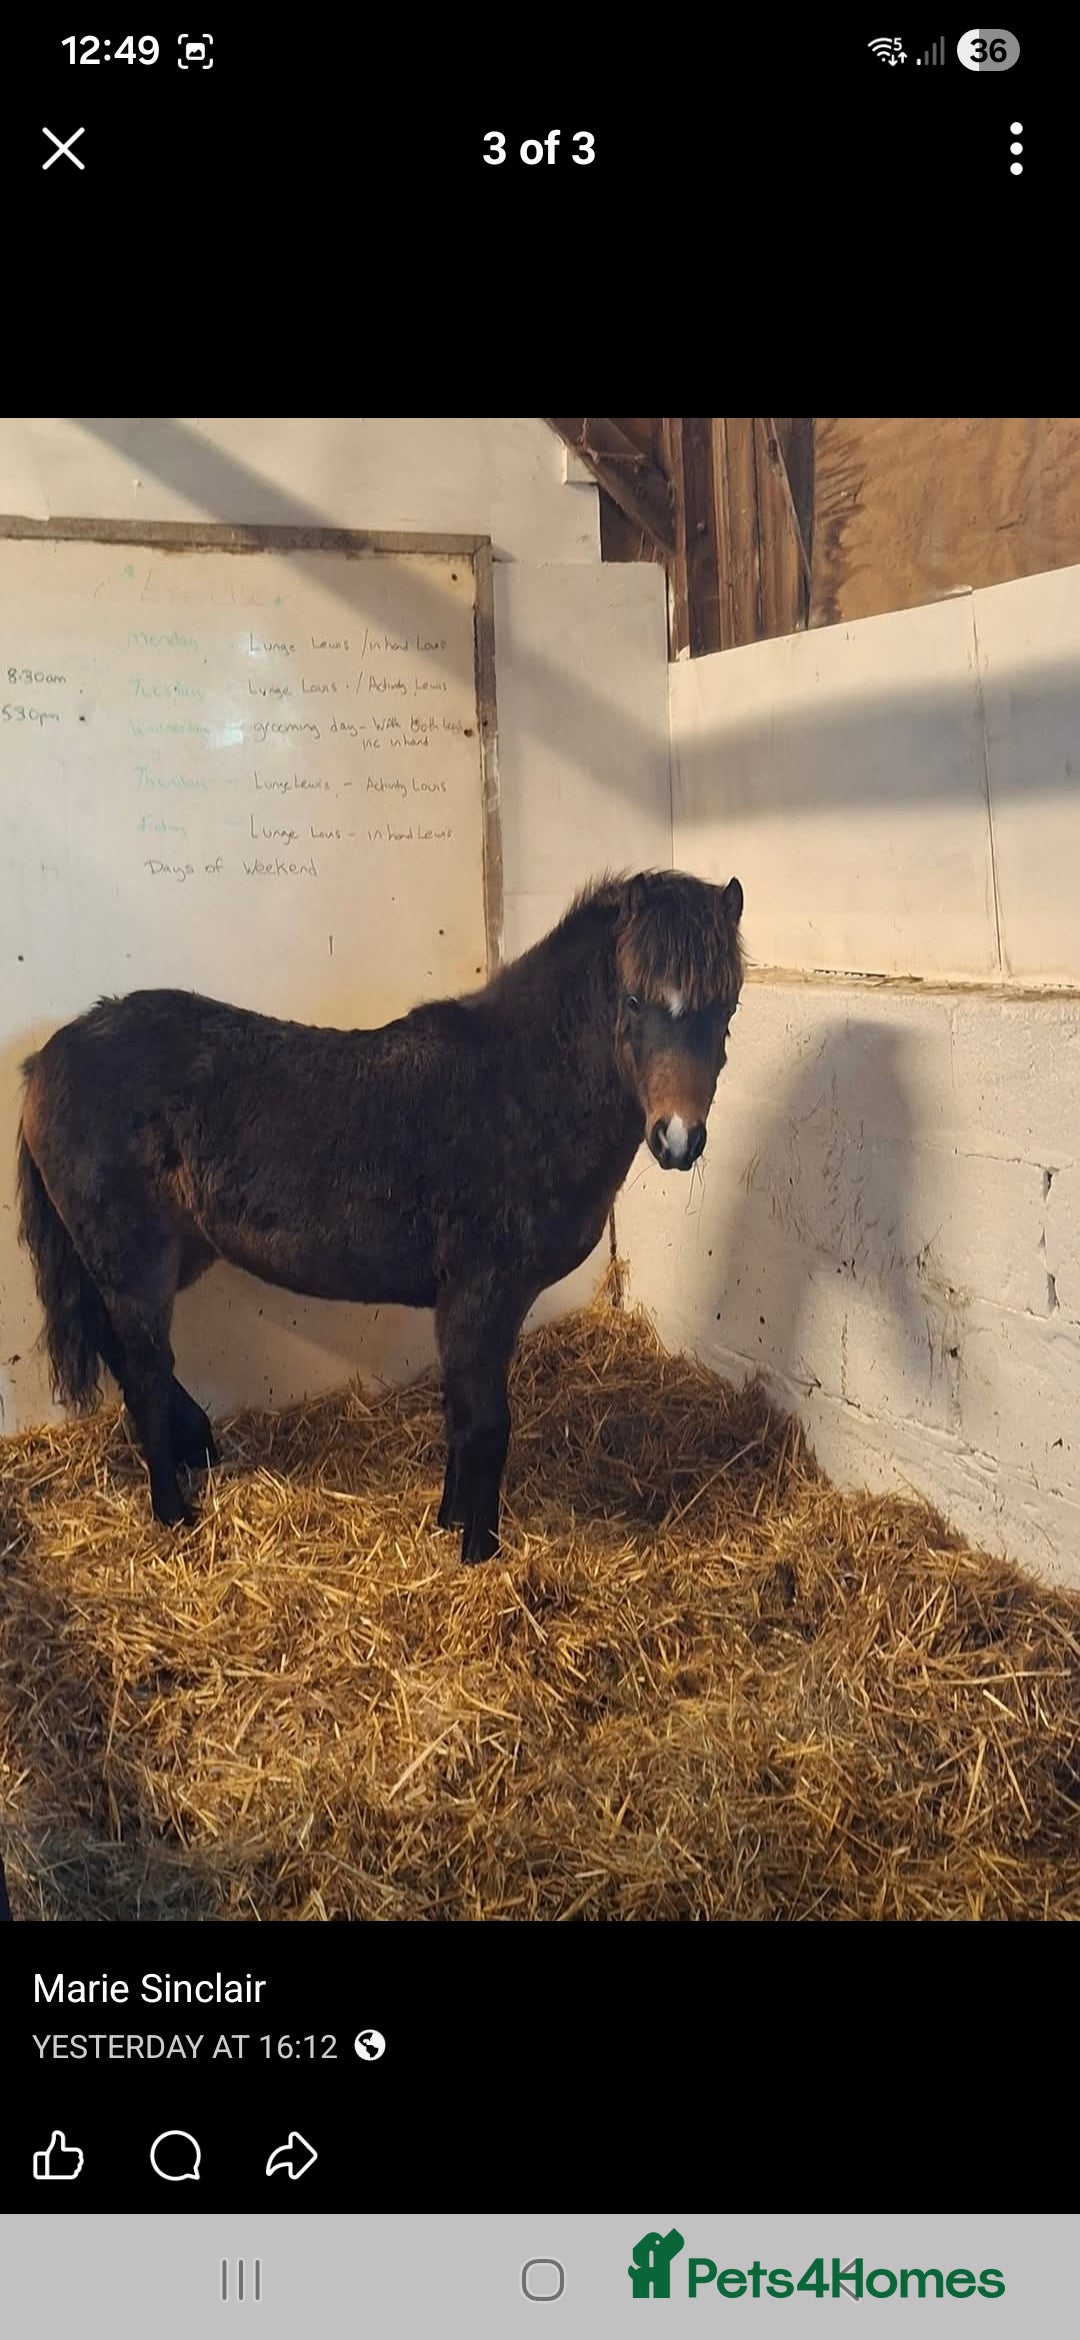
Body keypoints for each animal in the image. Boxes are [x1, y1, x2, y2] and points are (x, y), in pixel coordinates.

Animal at [17, 868, 744, 1564]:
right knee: (141, 1375)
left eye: (728, 1006)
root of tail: (48, 1057)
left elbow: (462, 1415)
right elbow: (487, 1424)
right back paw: (175, 1515)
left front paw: (450, 1521)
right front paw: (480, 1550)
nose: (677, 1139)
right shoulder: (482, 1295)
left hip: (169, 1257)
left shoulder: (474, 1305)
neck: (518, 1090)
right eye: (634, 1001)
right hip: (135, 1265)